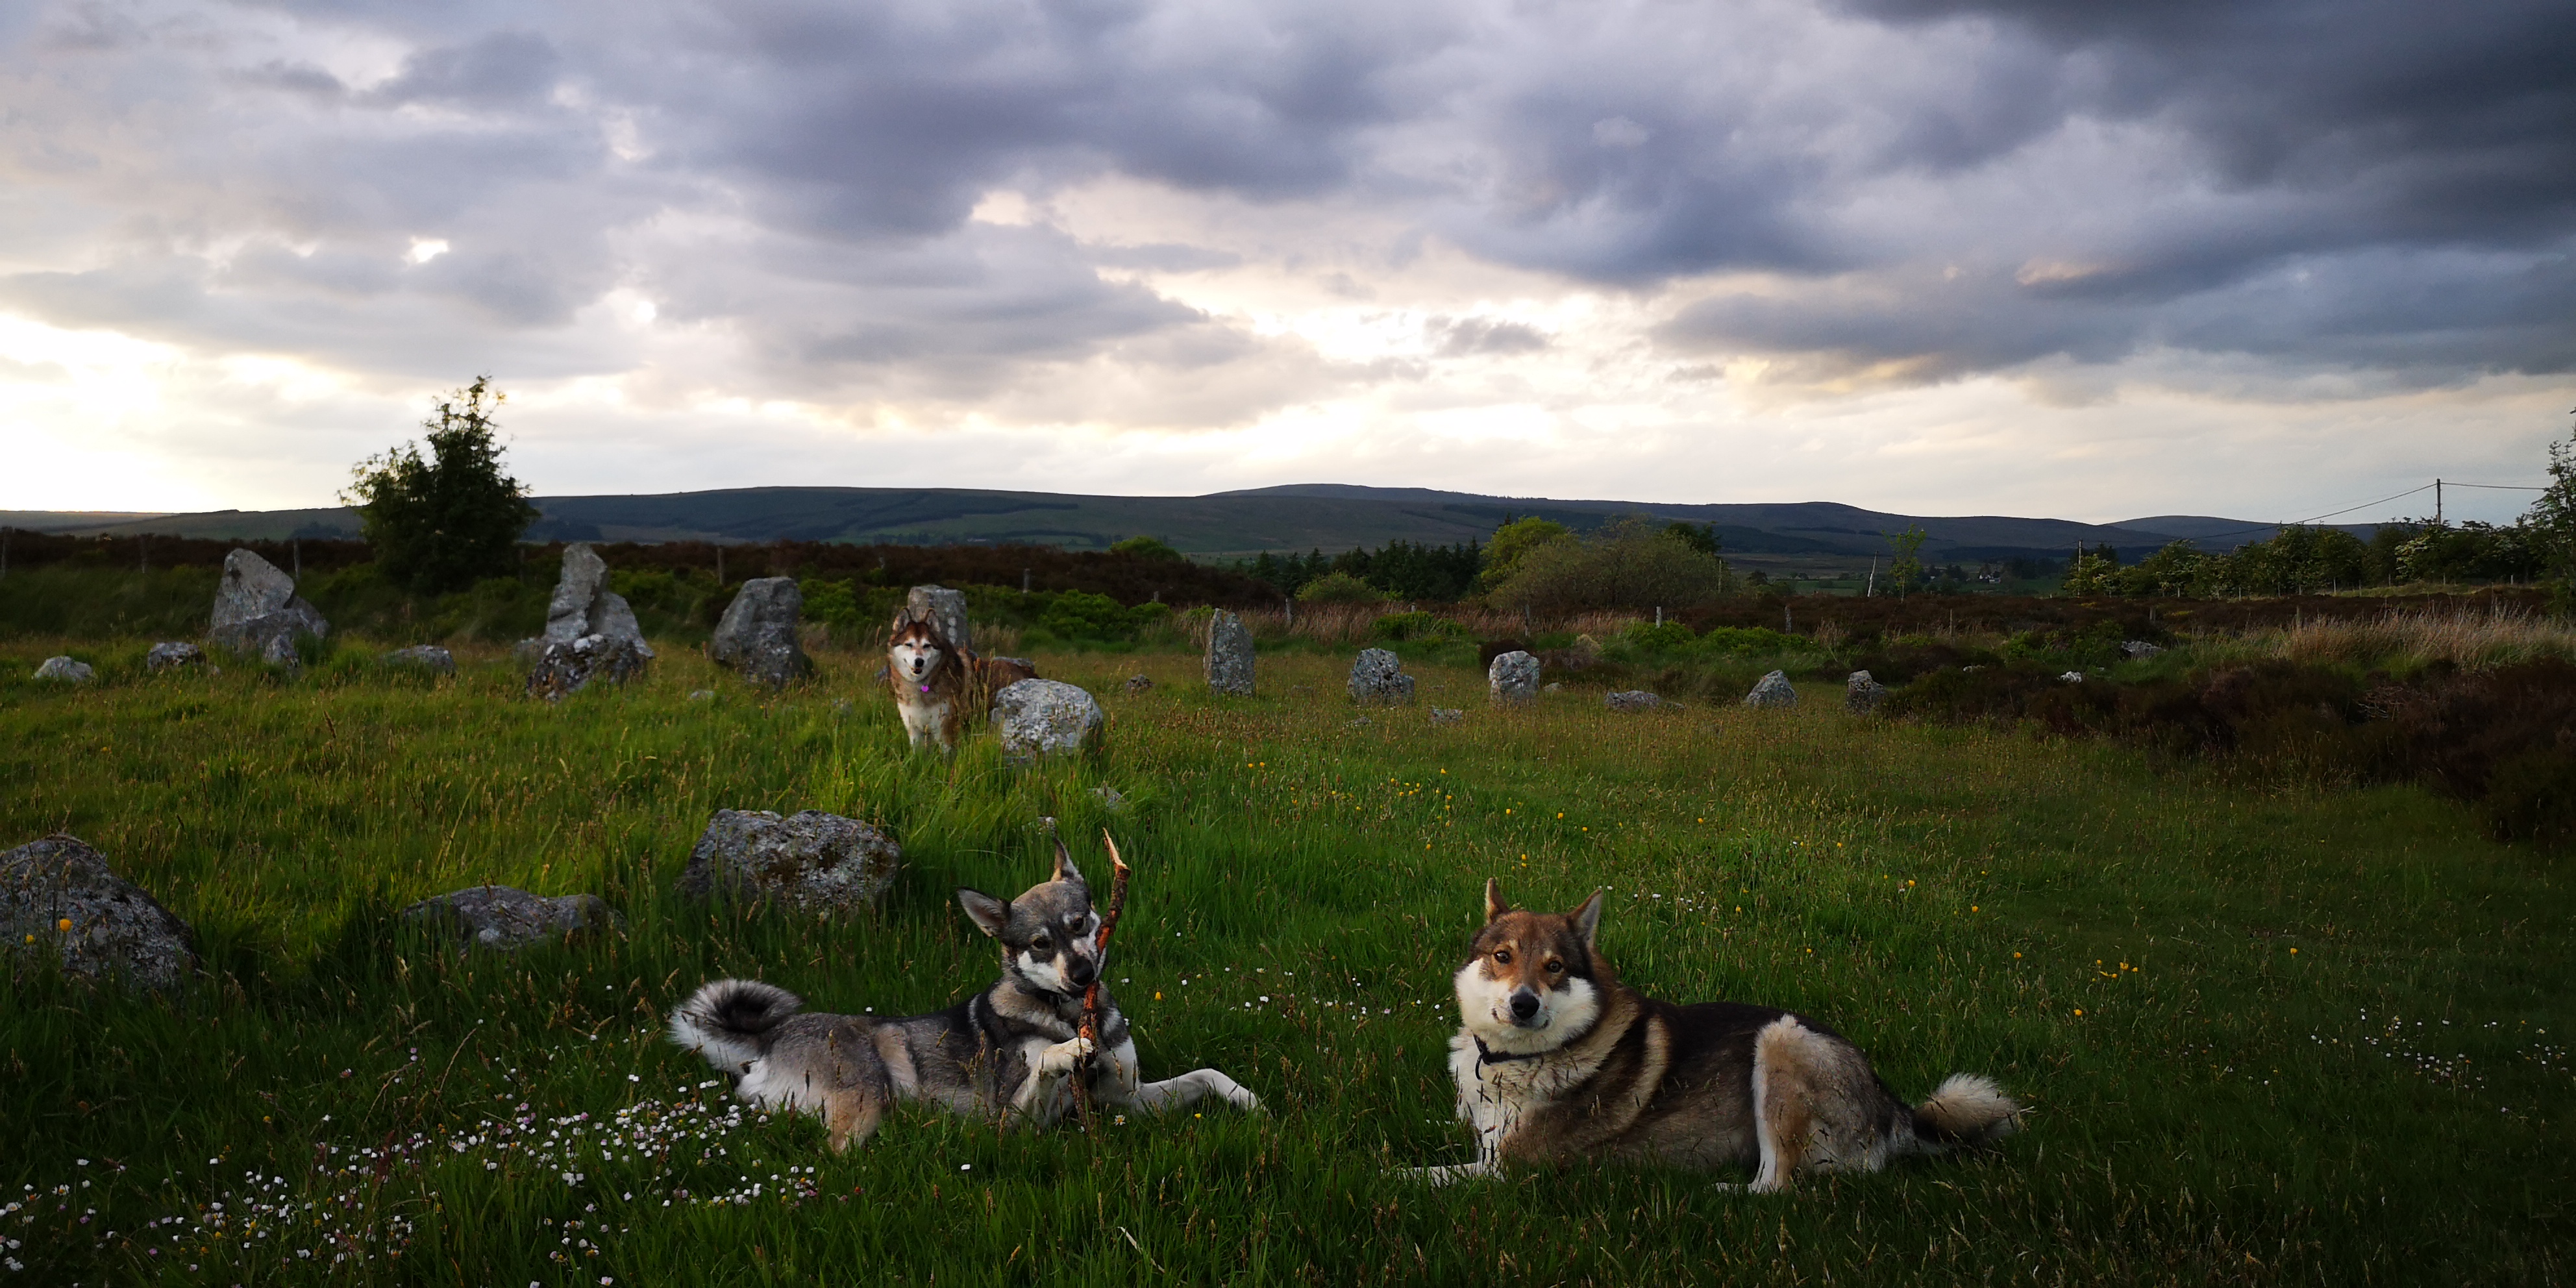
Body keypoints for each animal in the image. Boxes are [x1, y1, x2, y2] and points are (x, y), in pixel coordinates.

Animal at [670, 845, 1260, 1151]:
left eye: (1080, 923)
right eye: (1039, 944)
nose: (1082, 973)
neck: (1068, 1014)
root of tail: (771, 1037)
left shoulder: (1125, 1100)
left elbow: (1205, 1075)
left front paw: (1249, 1099)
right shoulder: (1015, 1122)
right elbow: (1042, 1062)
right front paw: (1064, 1052)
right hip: (867, 1099)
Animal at [885, 609, 1037, 753]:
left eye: (927, 645)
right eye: (909, 644)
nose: (919, 661)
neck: (921, 685)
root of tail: (1029, 672)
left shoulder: (946, 729)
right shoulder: (914, 730)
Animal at [1413, 879, 2020, 1188]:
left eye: (1555, 967)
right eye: (1502, 956)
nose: (1524, 1004)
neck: (1512, 1061)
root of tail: (1891, 1104)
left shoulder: (1508, 1170)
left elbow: (1418, 1175)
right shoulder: (1485, 1138)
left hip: (1780, 1040)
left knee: (1779, 1187)